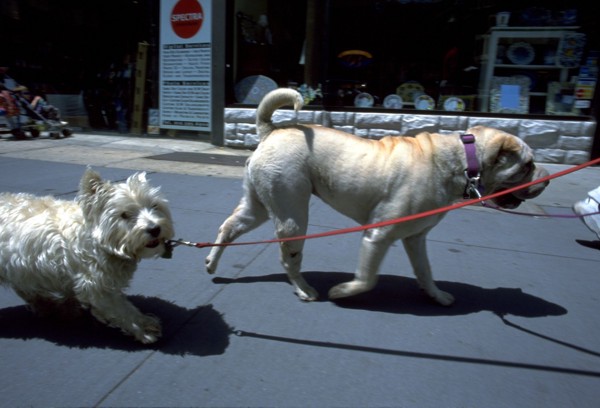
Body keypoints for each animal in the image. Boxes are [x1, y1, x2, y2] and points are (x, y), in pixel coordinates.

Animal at [0, 167, 173, 342]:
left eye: (154, 206)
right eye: (124, 214)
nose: (154, 229)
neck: (101, 241)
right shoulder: (96, 285)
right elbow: (121, 309)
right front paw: (145, 327)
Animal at [206, 89, 548, 306]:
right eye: (527, 165)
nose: (544, 178)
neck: (463, 160)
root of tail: (270, 131)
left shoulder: (416, 238)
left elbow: (425, 271)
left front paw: (436, 296)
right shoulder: (378, 236)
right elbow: (367, 278)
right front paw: (343, 291)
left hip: (260, 205)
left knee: (230, 226)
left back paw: (211, 261)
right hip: (292, 215)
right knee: (288, 257)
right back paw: (304, 289)